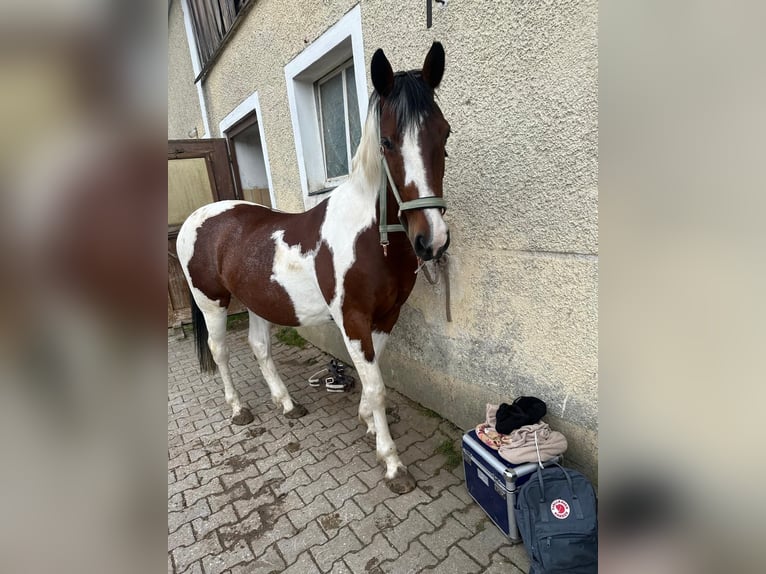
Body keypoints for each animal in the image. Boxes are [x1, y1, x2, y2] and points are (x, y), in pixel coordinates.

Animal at [177, 42, 451, 494]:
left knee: (259, 348)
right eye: (388, 142)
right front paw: (392, 463)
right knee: (220, 352)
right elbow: (377, 386)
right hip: (212, 302)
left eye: (444, 134)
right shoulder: (353, 319)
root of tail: (196, 218)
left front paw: (368, 425)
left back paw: (287, 404)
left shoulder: (385, 317)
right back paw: (239, 410)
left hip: (257, 300)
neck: (366, 236)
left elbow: (374, 379)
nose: (432, 240)